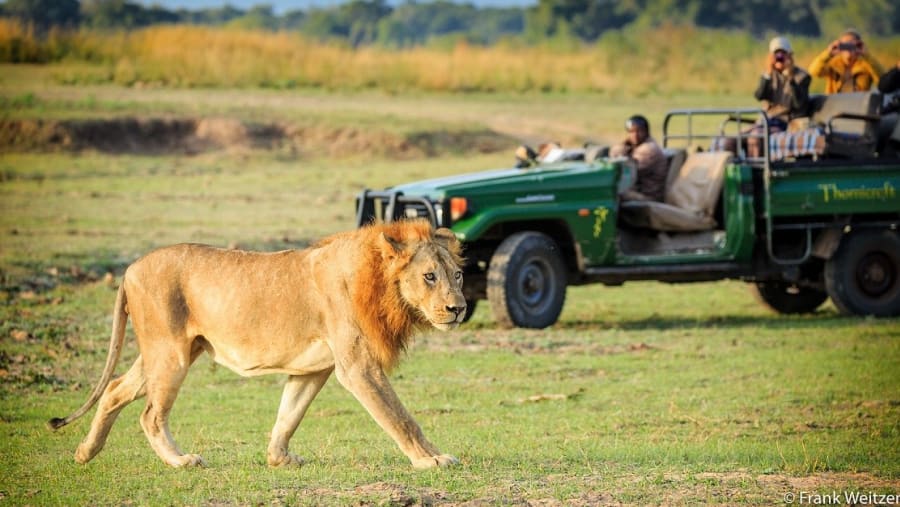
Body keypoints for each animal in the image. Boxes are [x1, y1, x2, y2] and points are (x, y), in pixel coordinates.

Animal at [48, 220, 466, 469]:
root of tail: (130, 268)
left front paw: (279, 459)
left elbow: (289, 414)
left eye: (458, 275)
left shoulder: (313, 368)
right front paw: (431, 461)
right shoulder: (358, 367)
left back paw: (85, 452)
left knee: (114, 390)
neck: (381, 284)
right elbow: (401, 417)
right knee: (150, 414)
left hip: (166, 351)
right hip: (170, 354)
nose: (458, 308)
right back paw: (181, 461)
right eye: (429, 276)